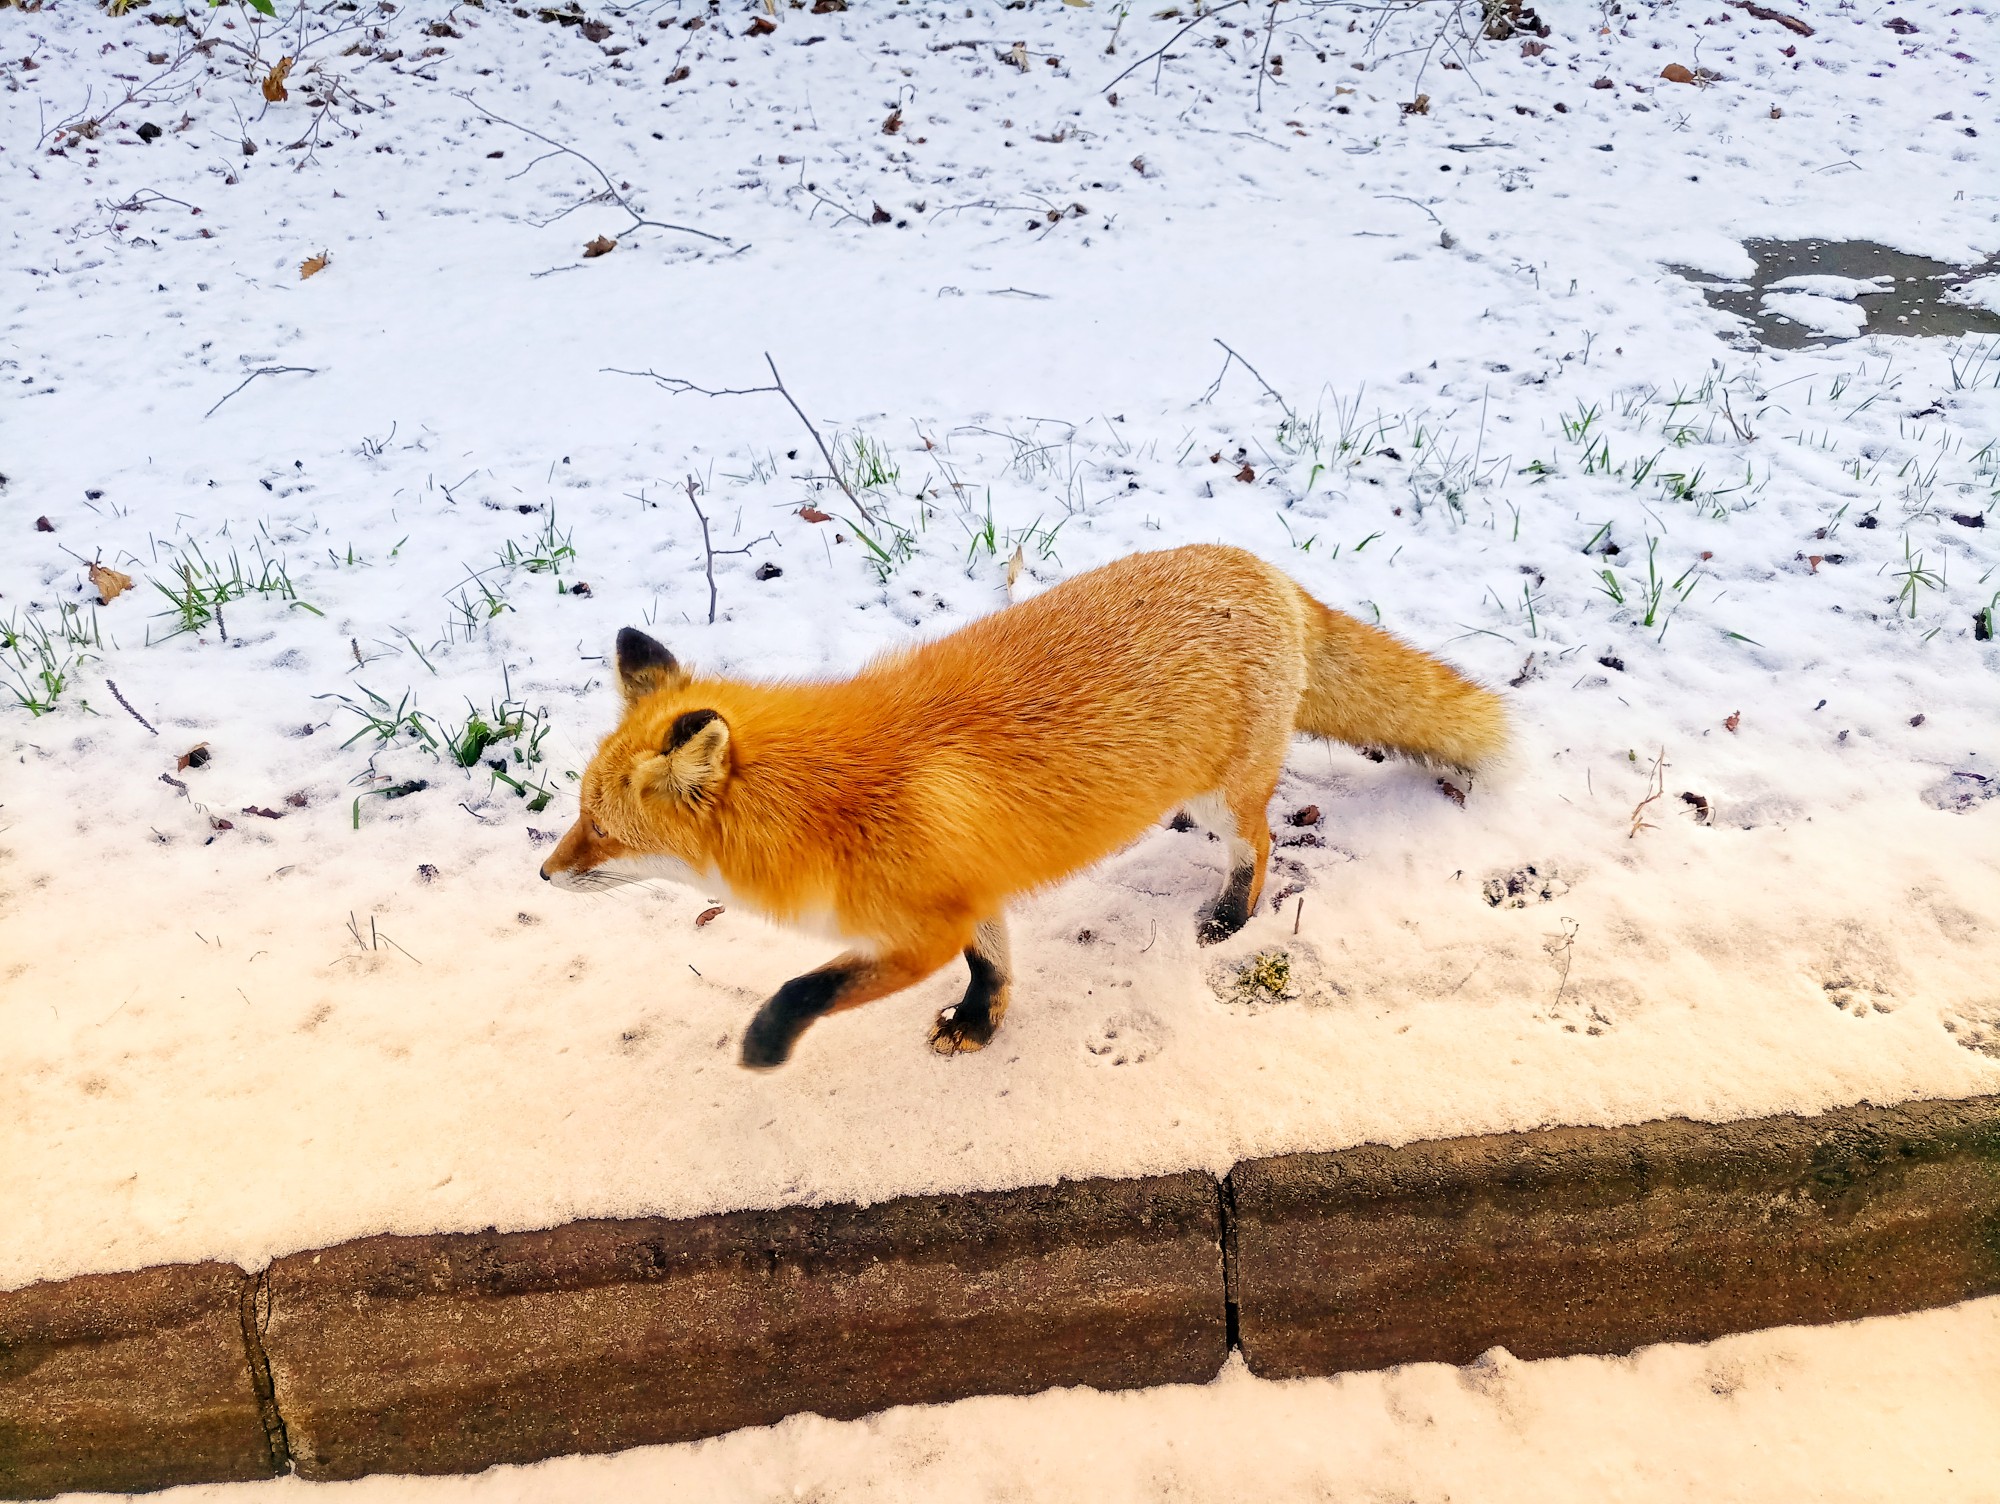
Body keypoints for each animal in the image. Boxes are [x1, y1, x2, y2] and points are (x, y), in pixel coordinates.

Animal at [540, 548, 1504, 1064]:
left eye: (601, 832)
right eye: (579, 818)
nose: (545, 873)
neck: (820, 804)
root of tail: (1263, 566)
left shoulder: (914, 933)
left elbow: (804, 988)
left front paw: (766, 1044)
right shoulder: (970, 893)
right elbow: (992, 964)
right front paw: (979, 1023)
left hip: (1225, 801)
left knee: (1262, 845)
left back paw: (1232, 916)